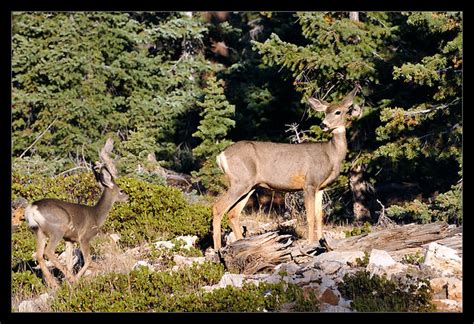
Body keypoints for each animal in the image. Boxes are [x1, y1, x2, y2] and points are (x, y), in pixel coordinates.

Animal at [25, 138, 129, 288]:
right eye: (121, 190)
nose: (128, 197)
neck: (97, 215)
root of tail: (32, 208)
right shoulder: (85, 237)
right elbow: (89, 260)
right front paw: (75, 279)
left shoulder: (69, 239)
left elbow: (69, 262)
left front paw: (69, 281)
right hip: (57, 229)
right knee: (48, 252)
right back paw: (67, 280)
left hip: (38, 231)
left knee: (39, 255)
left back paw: (54, 284)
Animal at [213, 85, 362, 248]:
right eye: (325, 112)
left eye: (337, 111)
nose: (323, 125)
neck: (331, 154)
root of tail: (221, 155)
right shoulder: (309, 183)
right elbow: (310, 217)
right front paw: (311, 243)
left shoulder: (320, 187)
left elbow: (319, 217)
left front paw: (322, 242)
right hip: (240, 181)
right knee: (218, 208)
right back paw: (217, 249)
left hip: (249, 186)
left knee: (233, 213)